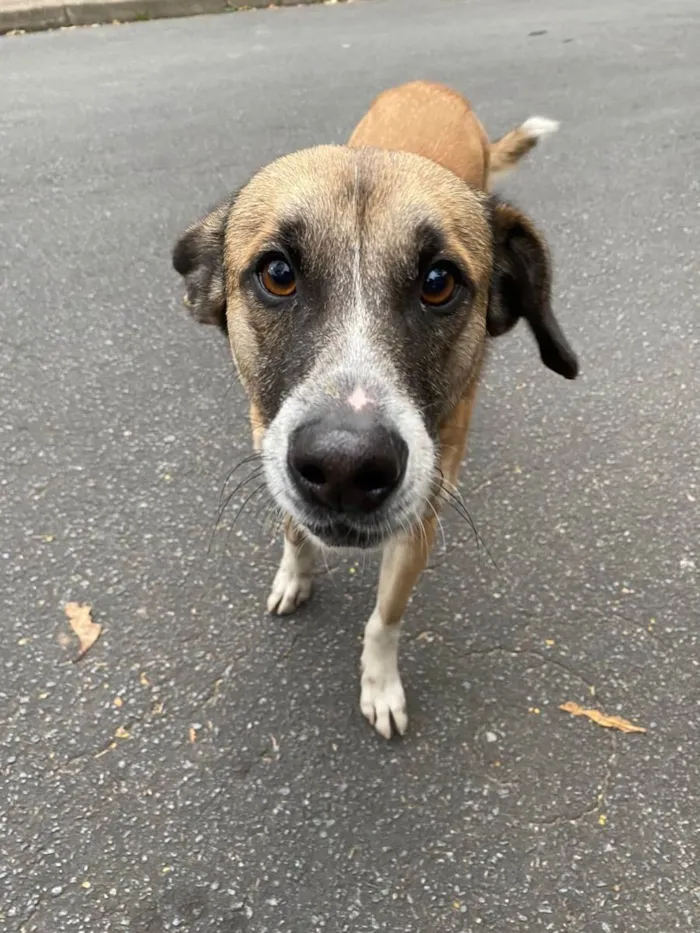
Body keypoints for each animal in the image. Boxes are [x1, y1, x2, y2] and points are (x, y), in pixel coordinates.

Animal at [172, 80, 576, 736]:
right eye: (277, 273)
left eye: (438, 281)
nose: (345, 466)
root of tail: (432, 86)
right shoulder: (268, 447)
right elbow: (294, 531)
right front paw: (295, 575)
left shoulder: (421, 520)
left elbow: (385, 619)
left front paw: (380, 684)